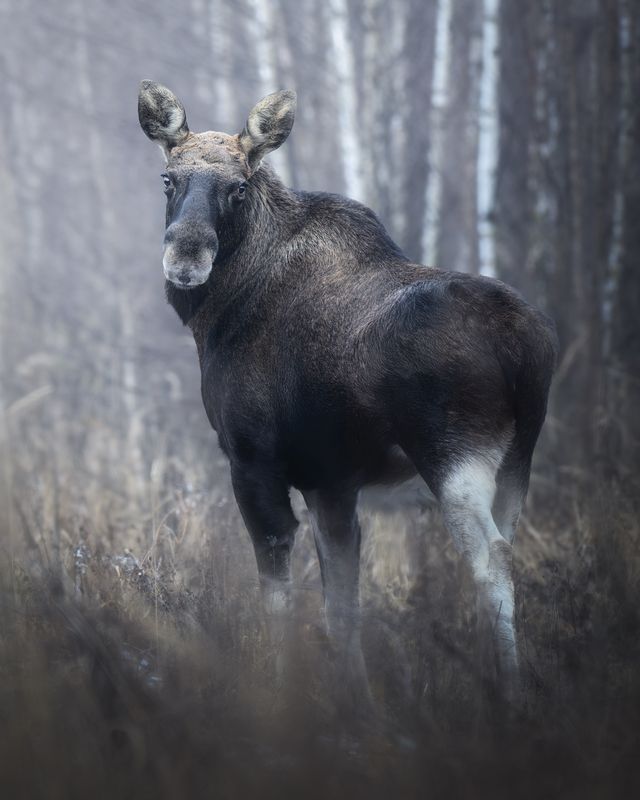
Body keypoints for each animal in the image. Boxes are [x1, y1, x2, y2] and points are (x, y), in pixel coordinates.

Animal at [139, 78, 556, 696]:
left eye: (238, 187)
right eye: (168, 179)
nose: (186, 256)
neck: (217, 313)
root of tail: (524, 347)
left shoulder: (252, 461)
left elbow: (280, 595)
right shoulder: (330, 482)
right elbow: (342, 606)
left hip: (454, 457)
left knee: (492, 560)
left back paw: (510, 692)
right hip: (515, 465)